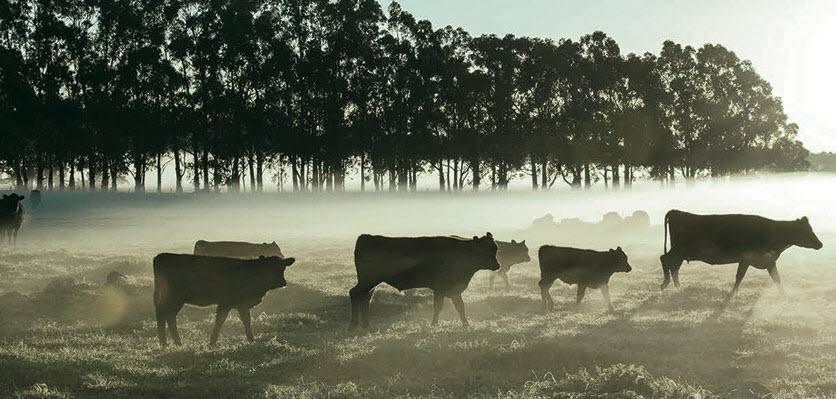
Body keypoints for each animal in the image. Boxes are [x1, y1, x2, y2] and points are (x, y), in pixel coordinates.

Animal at [153, 255, 298, 348]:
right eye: (269, 268)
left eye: (283, 267)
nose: (282, 282)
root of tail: (160, 256)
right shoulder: (226, 303)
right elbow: (220, 321)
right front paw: (212, 343)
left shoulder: (242, 304)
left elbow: (246, 320)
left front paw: (251, 340)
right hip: (174, 298)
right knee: (166, 316)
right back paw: (169, 343)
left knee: (167, 317)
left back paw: (171, 343)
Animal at [350, 233, 500, 330]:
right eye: (485, 250)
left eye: (495, 249)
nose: (497, 265)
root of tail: (366, 237)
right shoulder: (440, 289)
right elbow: (439, 307)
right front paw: (434, 324)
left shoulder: (452, 290)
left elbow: (460, 307)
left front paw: (466, 325)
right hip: (368, 281)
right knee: (355, 293)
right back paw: (353, 326)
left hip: (371, 283)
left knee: (365, 298)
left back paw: (366, 325)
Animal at [660, 211, 824, 296]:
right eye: (807, 231)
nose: (820, 244)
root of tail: (675, 211)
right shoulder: (746, 259)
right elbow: (740, 276)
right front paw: (733, 293)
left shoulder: (768, 261)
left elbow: (776, 278)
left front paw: (784, 295)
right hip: (678, 250)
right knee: (665, 259)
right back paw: (666, 284)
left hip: (680, 253)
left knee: (674, 266)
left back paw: (678, 287)